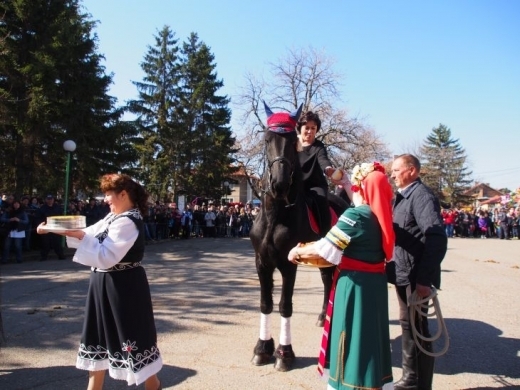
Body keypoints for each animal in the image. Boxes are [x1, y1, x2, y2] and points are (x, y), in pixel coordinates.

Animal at [250, 103, 348, 372]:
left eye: (292, 140)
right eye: (267, 139)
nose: (279, 185)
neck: (276, 214)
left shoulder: (288, 265)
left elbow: (285, 306)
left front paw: (284, 354)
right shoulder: (262, 263)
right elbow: (266, 303)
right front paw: (262, 349)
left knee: (331, 282)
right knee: (326, 281)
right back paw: (322, 316)